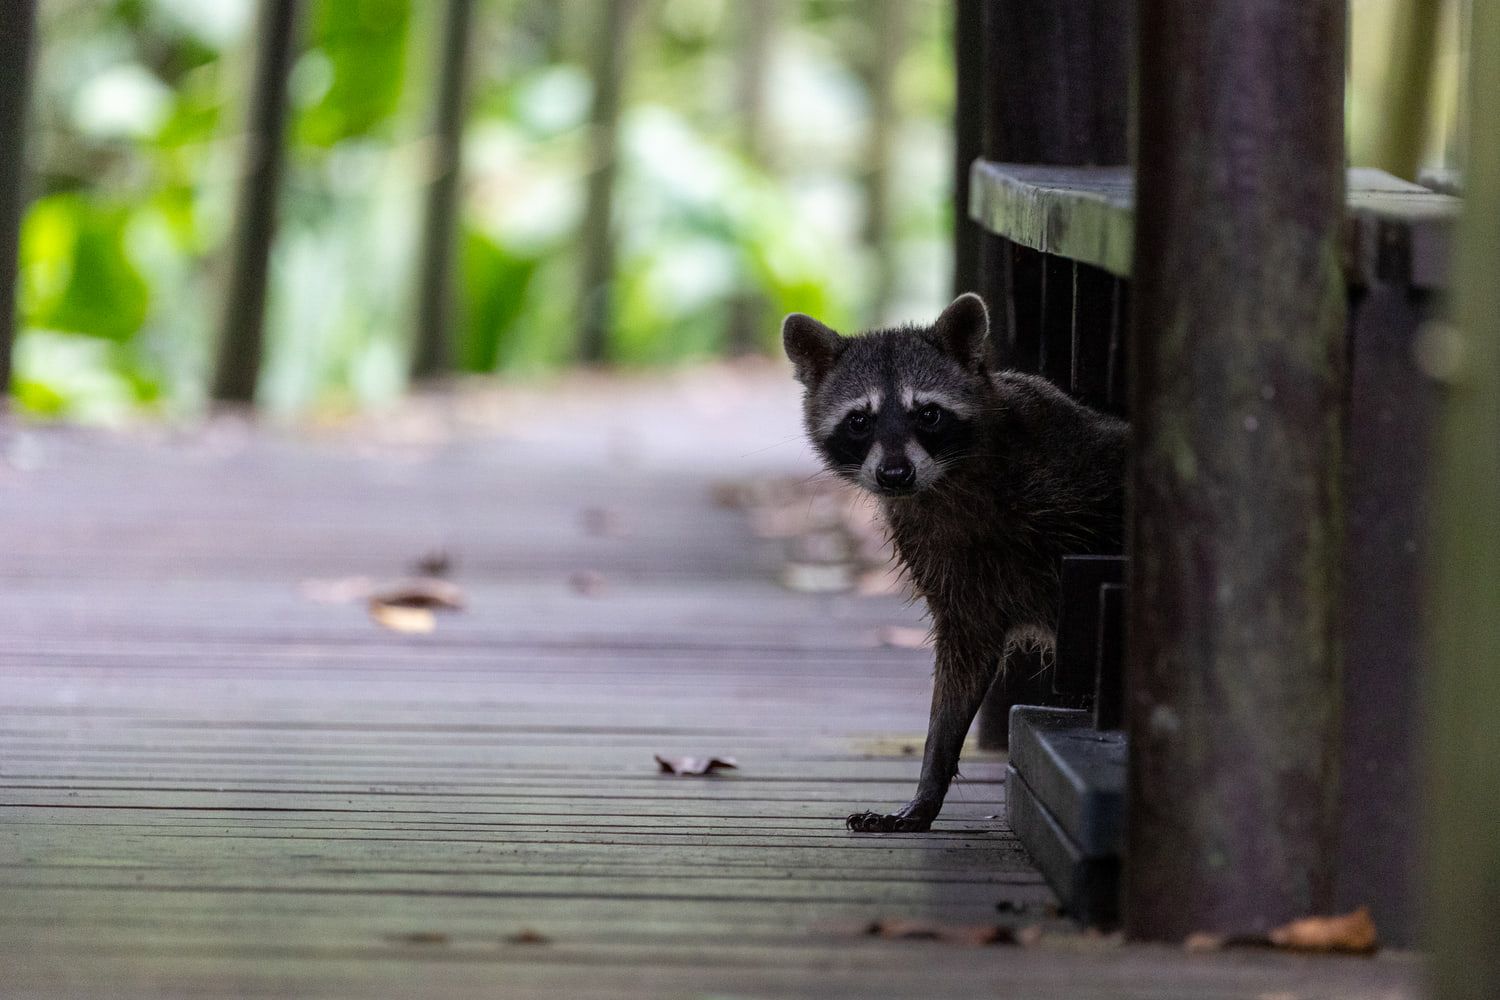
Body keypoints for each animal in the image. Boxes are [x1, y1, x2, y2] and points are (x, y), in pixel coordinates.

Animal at [783, 292, 1126, 832]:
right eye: (859, 420)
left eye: (929, 413)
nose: (895, 474)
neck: (944, 484)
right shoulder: (944, 563)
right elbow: (963, 663)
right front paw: (930, 781)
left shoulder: (1071, 474)